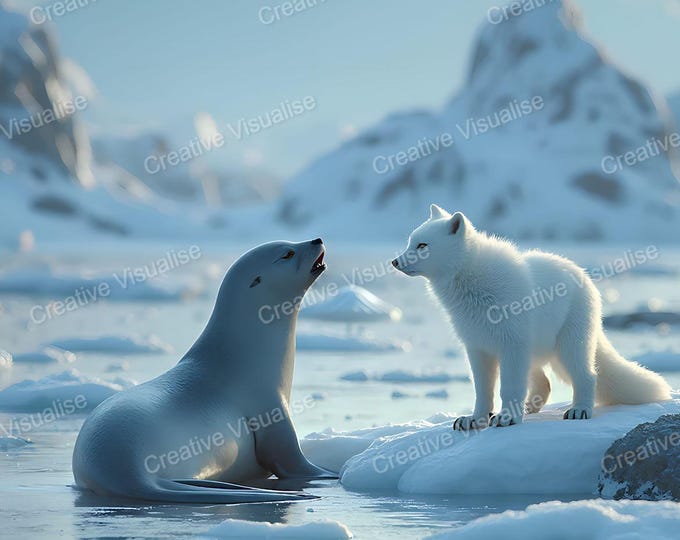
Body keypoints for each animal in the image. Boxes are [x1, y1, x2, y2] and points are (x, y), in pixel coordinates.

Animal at [392, 204, 671, 430]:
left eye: (422, 245)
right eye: (410, 242)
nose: (394, 262)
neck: (472, 283)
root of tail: (582, 273)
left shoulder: (511, 343)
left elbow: (509, 387)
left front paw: (506, 418)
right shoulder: (478, 347)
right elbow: (482, 390)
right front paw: (476, 419)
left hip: (567, 346)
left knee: (588, 375)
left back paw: (580, 409)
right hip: (535, 350)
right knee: (545, 382)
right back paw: (529, 408)